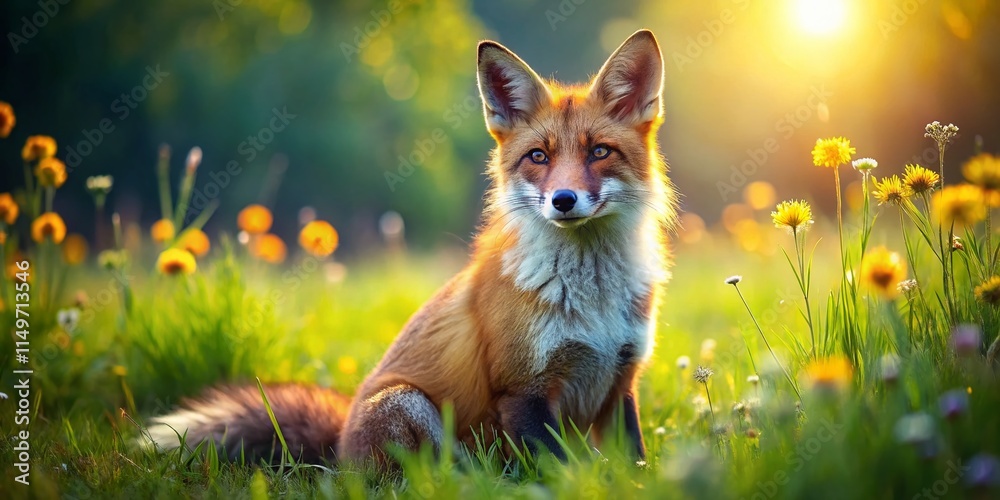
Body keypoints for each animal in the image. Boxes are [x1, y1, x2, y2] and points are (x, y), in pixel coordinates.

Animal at [145, 29, 676, 469]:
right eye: (538, 157)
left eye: (599, 151)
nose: (563, 200)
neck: (593, 303)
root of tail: (340, 448)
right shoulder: (521, 390)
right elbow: (561, 468)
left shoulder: (621, 380)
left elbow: (633, 463)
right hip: (408, 403)